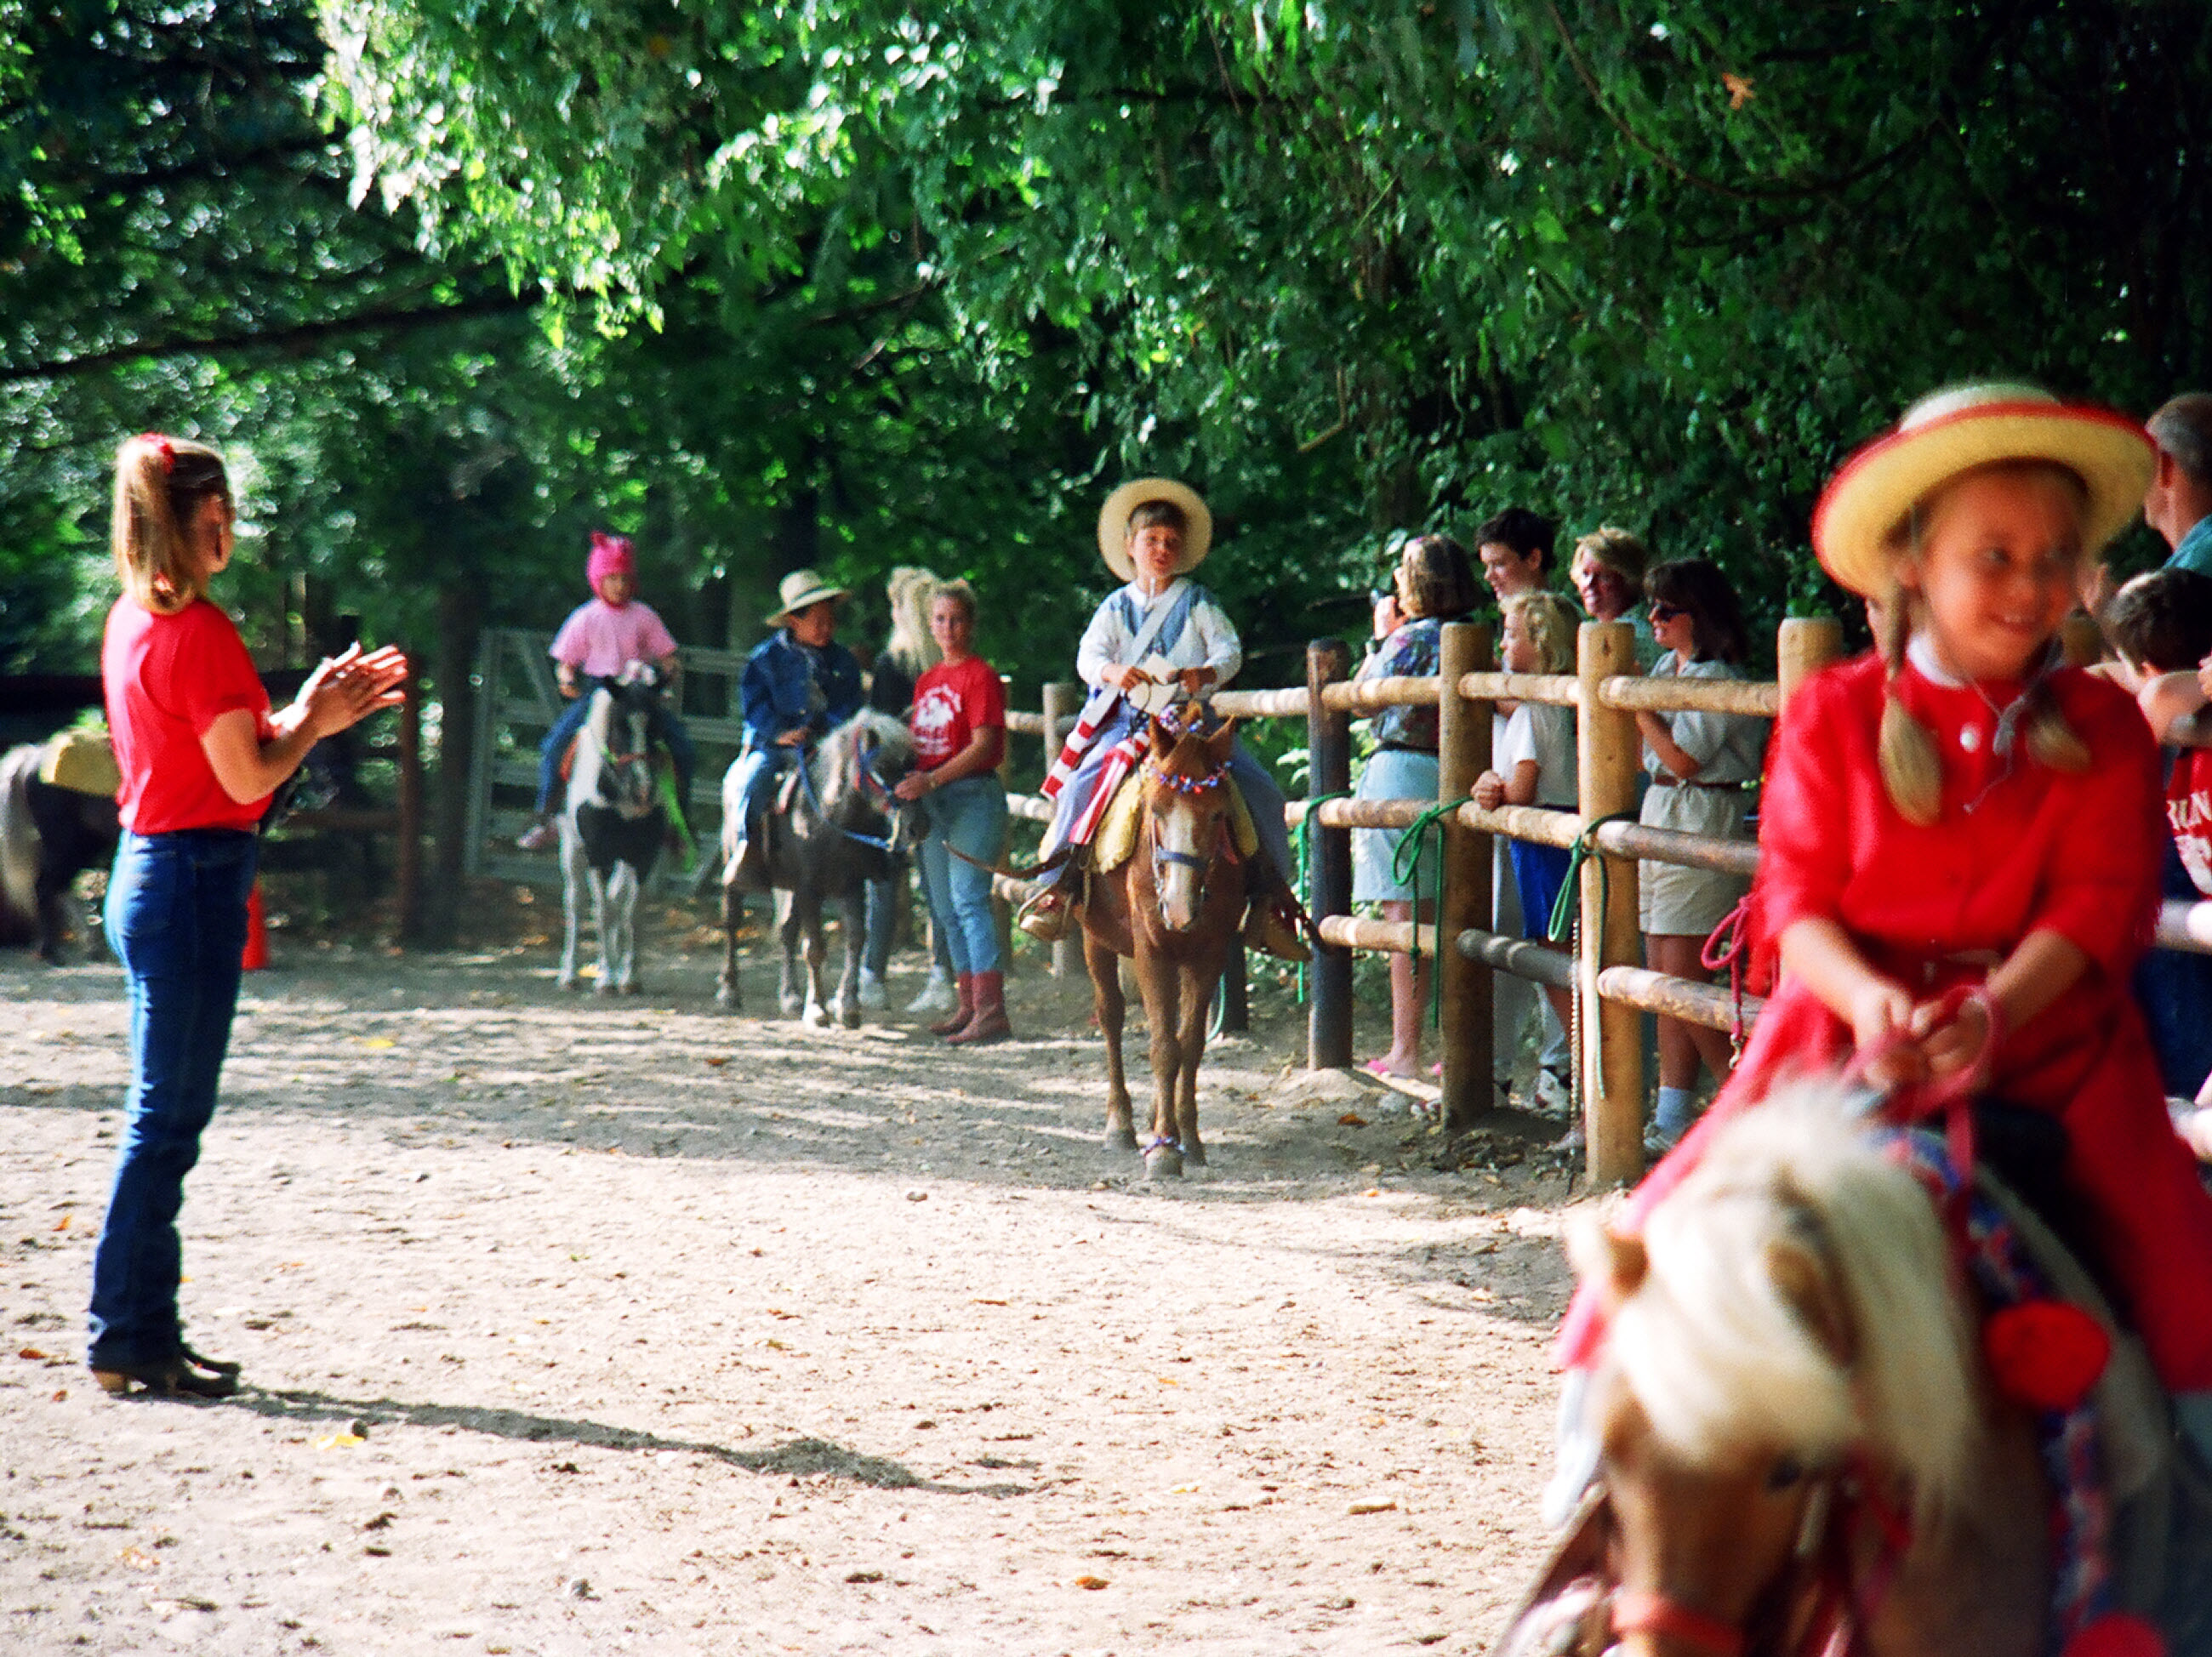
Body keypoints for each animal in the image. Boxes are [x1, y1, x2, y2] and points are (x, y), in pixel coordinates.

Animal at [557, 663, 668, 995]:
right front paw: (606, 978)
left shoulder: (643, 856)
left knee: (618, 898)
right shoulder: (598, 854)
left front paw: (629, 977)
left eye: (656, 725)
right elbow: (603, 912)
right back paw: (570, 973)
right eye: (620, 726)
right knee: (576, 903)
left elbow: (632, 912)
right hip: (572, 848)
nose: (644, 790)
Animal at [721, 708, 920, 1022]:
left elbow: (856, 939)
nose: (918, 827)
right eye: (883, 767)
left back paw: (790, 996)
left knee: (787, 931)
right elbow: (814, 947)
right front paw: (817, 1009)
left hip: (786, 884)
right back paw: (729, 991)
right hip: (734, 868)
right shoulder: (808, 890)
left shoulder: (851, 886)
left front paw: (849, 1006)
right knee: (732, 922)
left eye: (914, 764)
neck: (827, 817)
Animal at [1084, 712, 1256, 1176]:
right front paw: (1163, 1152)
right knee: (1111, 1016)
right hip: (1094, 938)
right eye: (1155, 809)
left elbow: (1189, 1044)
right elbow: (1163, 1047)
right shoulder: (1152, 950)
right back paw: (1120, 1124)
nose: (1178, 907)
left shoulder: (1210, 951)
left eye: (1217, 815)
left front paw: (1188, 1139)